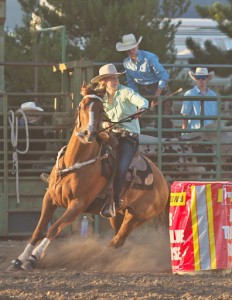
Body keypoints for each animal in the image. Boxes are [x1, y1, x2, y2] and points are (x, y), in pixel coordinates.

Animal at [8, 88, 169, 270]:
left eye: (101, 109)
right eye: (82, 105)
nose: (88, 133)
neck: (75, 161)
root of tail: (164, 184)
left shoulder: (78, 204)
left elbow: (54, 229)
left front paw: (33, 258)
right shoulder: (49, 198)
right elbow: (38, 230)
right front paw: (20, 259)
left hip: (136, 217)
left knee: (117, 240)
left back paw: (97, 258)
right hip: (116, 214)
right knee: (118, 238)